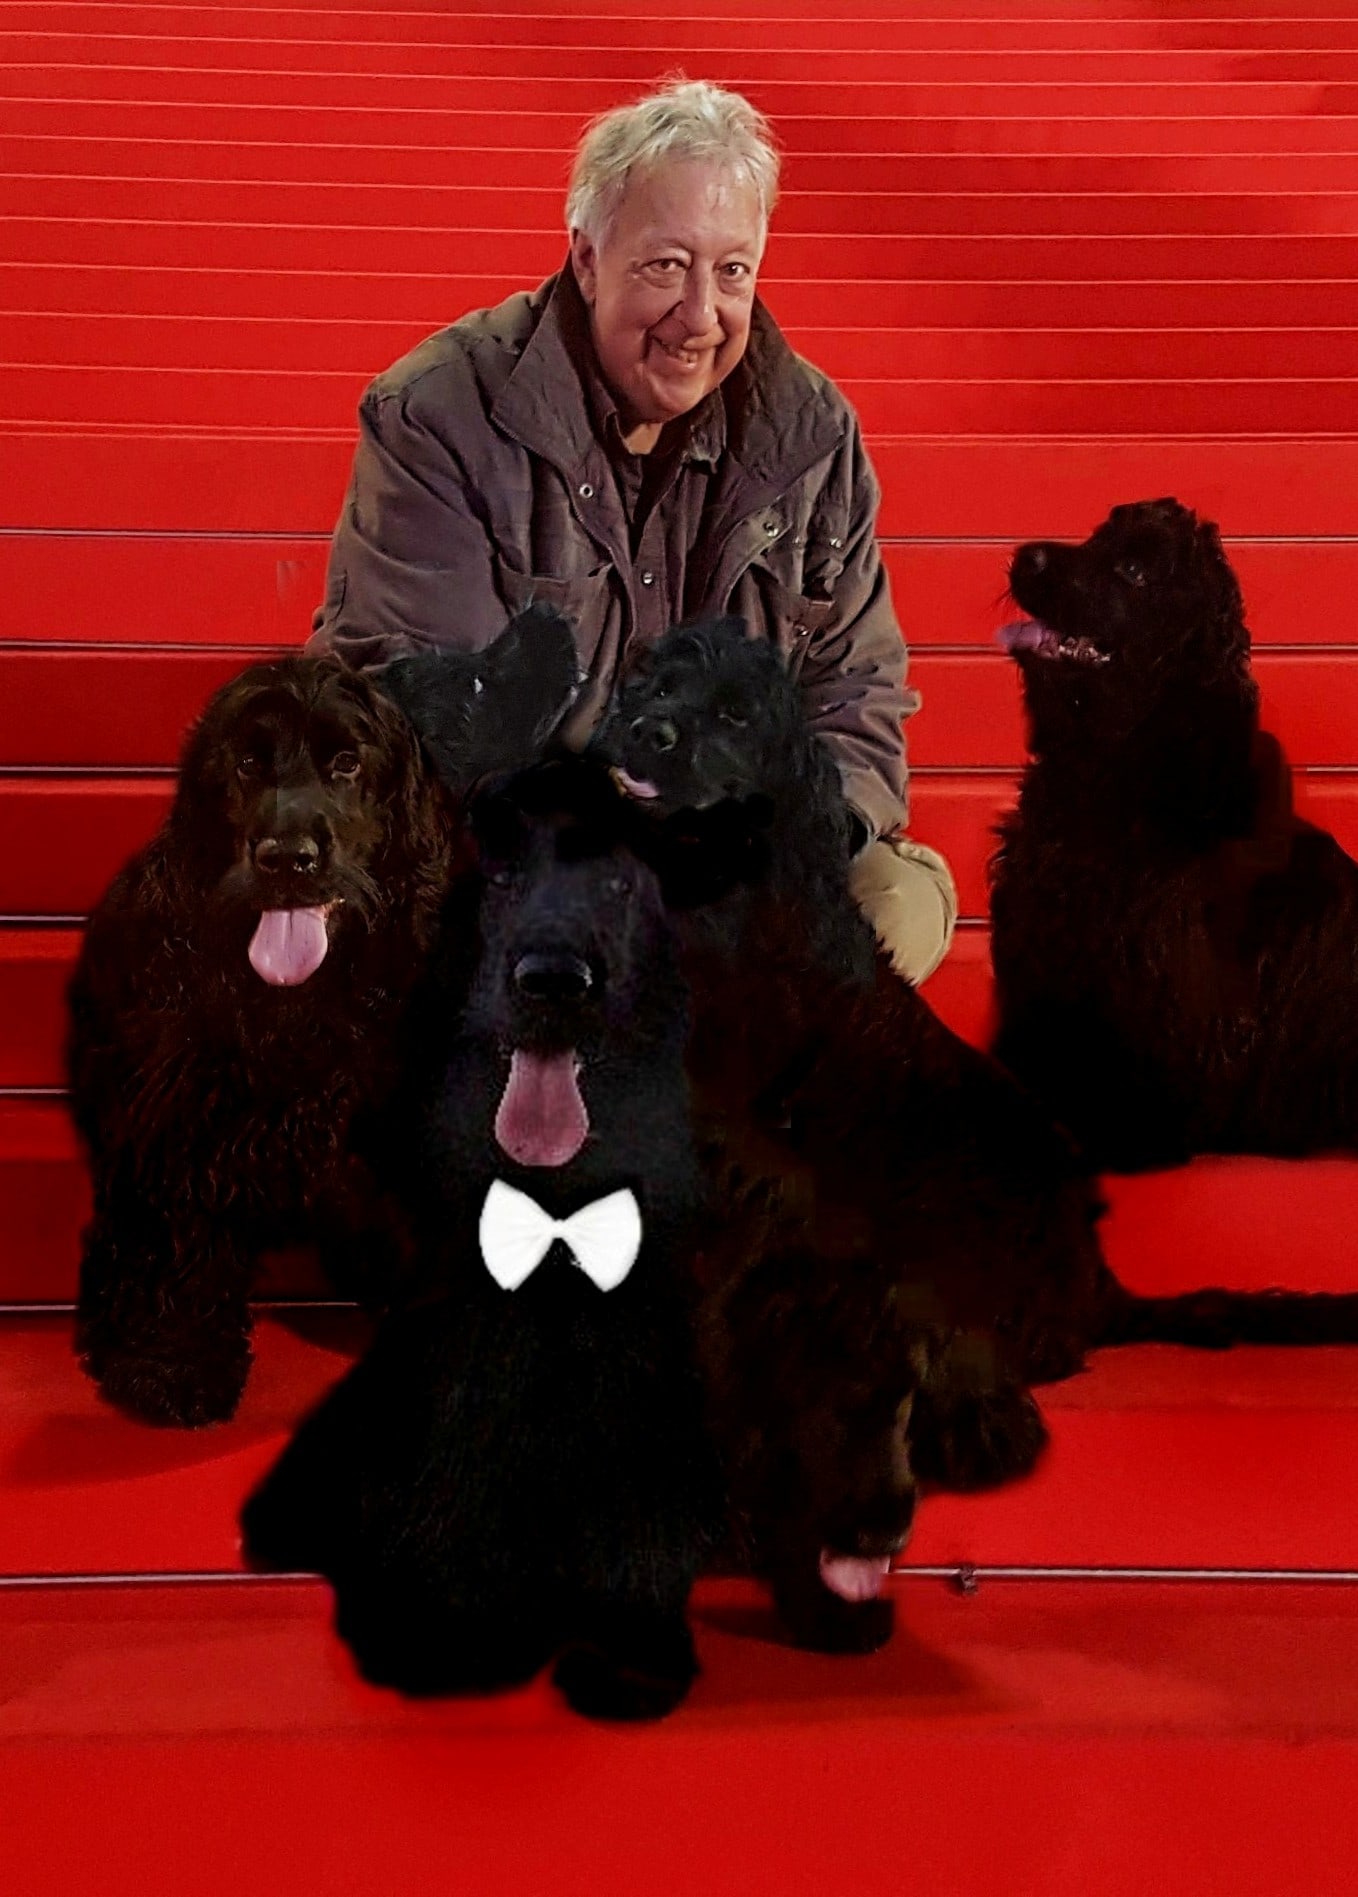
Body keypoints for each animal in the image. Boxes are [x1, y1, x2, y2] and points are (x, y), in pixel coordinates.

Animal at [69, 608, 580, 1427]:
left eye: (345, 764)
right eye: (246, 766)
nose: (288, 858)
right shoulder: (178, 1110)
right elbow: (175, 1237)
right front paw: (169, 1362)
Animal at [242, 759, 721, 1720]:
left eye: (619, 885)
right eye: (500, 878)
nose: (552, 978)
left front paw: (636, 1649)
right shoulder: (454, 1341)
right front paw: (442, 1630)